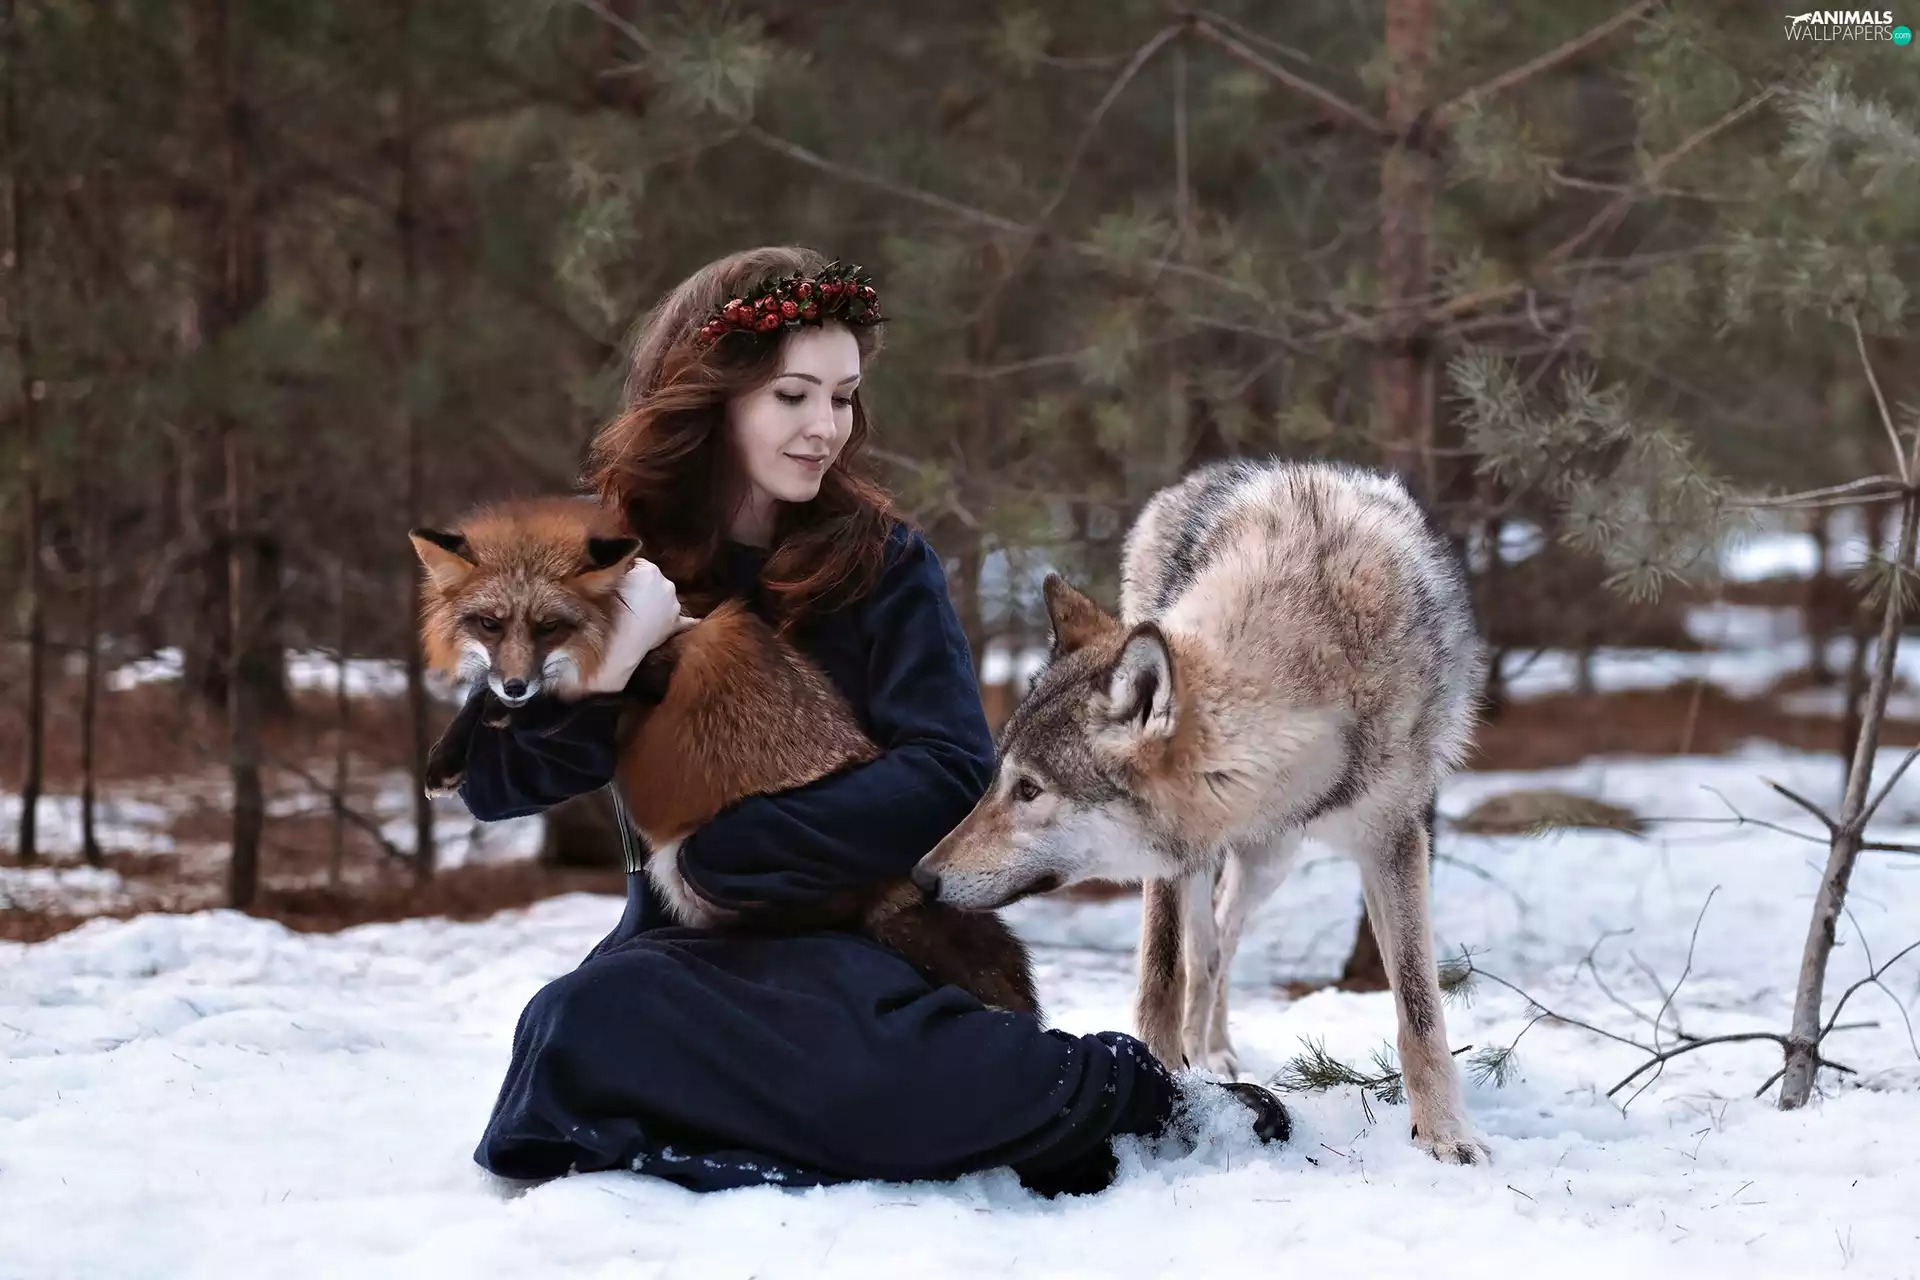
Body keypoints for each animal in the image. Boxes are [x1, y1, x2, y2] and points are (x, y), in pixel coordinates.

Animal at [409, 497, 1039, 1018]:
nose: (517, 685)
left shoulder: (656, 664)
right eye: (490, 624)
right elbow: (481, 697)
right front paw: (451, 752)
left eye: (548, 627)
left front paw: (511, 716)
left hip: (693, 862)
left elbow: (582, 694)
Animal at [911, 458, 1489, 1164]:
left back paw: (1214, 1045)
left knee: (1224, 933)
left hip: (1271, 865)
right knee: (1203, 943)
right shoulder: (1166, 864)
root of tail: (1206, 474)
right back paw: (1202, 1050)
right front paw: (1163, 1079)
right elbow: (1160, 978)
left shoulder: (1395, 838)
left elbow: (1418, 1005)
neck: (1318, 649)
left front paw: (1446, 1135)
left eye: (1029, 790)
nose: (922, 876)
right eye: (1001, 779)